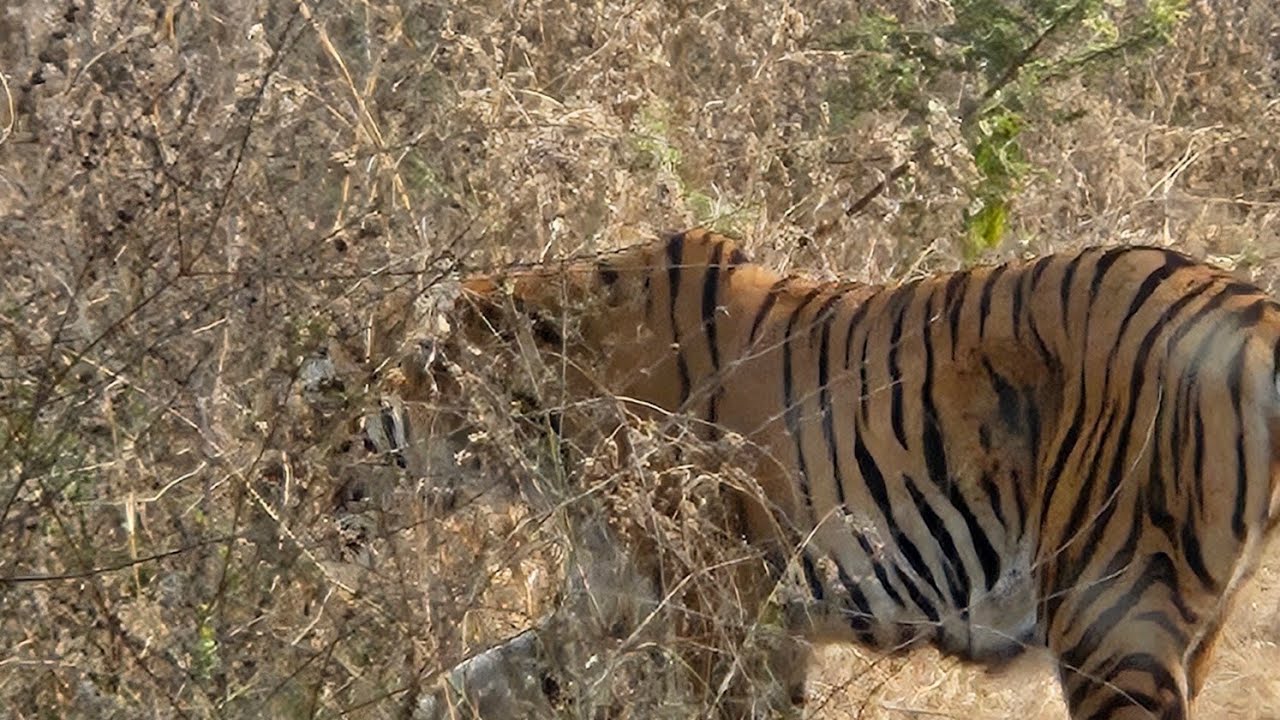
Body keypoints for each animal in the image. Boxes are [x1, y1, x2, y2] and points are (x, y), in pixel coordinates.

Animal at [373, 227, 1280, 719]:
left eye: (396, 376)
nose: (359, 426)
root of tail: (1257, 311)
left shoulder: (711, 616)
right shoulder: (616, 607)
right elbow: (469, 684)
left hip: (1111, 611)